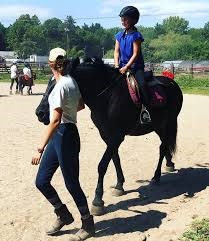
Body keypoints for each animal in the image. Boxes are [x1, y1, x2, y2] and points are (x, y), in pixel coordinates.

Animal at [35, 58, 183, 215]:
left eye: (59, 87)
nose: (40, 113)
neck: (107, 97)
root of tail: (172, 83)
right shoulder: (107, 136)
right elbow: (115, 160)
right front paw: (119, 185)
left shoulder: (116, 137)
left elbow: (102, 165)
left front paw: (98, 200)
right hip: (159, 127)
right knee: (164, 146)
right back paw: (169, 164)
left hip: (168, 123)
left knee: (162, 148)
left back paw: (156, 176)